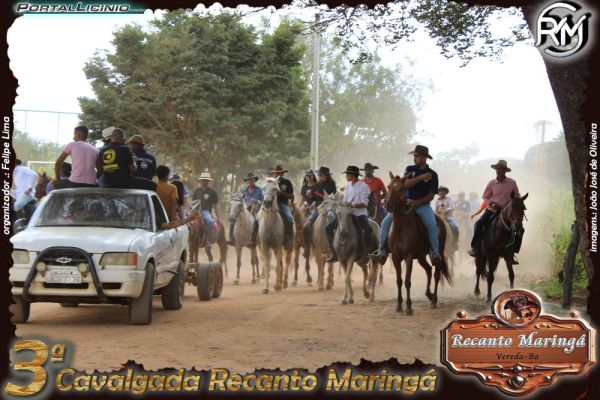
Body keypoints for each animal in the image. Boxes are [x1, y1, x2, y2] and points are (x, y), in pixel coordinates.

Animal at [386, 173, 452, 314]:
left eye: (401, 189)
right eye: (388, 186)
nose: (389, 206)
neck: (400, 227)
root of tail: (441, 221)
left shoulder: (408, 256)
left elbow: (407, 281)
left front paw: (409, 307)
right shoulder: (395, 257)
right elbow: (399, 280)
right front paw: (398, 305)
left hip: (437, 253)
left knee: (436, 274)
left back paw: (434, 301)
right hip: (421, 256)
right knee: (428, 270)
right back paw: (429, 294)